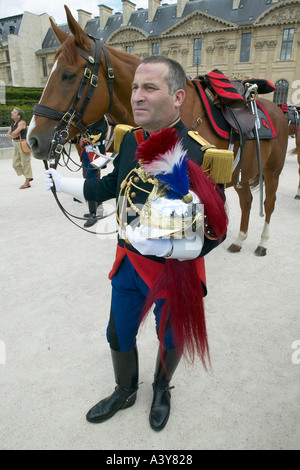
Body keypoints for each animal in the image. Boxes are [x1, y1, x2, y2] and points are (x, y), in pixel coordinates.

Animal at [28, 5, 288, 255]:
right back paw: (240, 240)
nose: (32, 139)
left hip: (272, 171)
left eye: (68, 75)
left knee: (269, 203)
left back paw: (262, 242)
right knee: (247, 200)